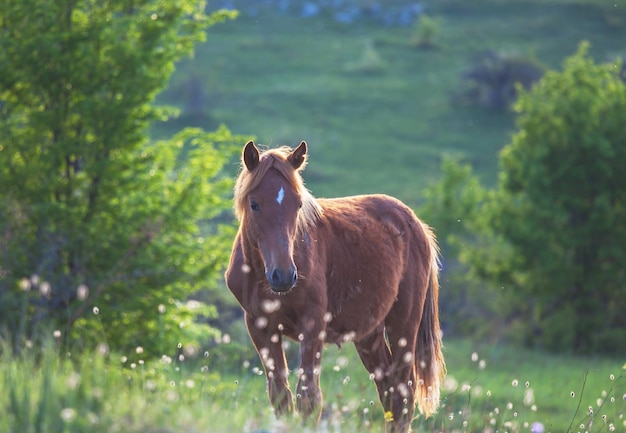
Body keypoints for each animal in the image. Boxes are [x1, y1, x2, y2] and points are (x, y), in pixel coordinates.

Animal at [224, 142, 444, 432]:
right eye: (254, 204)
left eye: (298, 204)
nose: (283, 276)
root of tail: (416, 225)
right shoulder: (260, 327)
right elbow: (280, 396)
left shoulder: (312, 326)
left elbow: (308, 398)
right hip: (369, 335)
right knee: (388, 392)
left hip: (404, 326)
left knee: (402, 394)